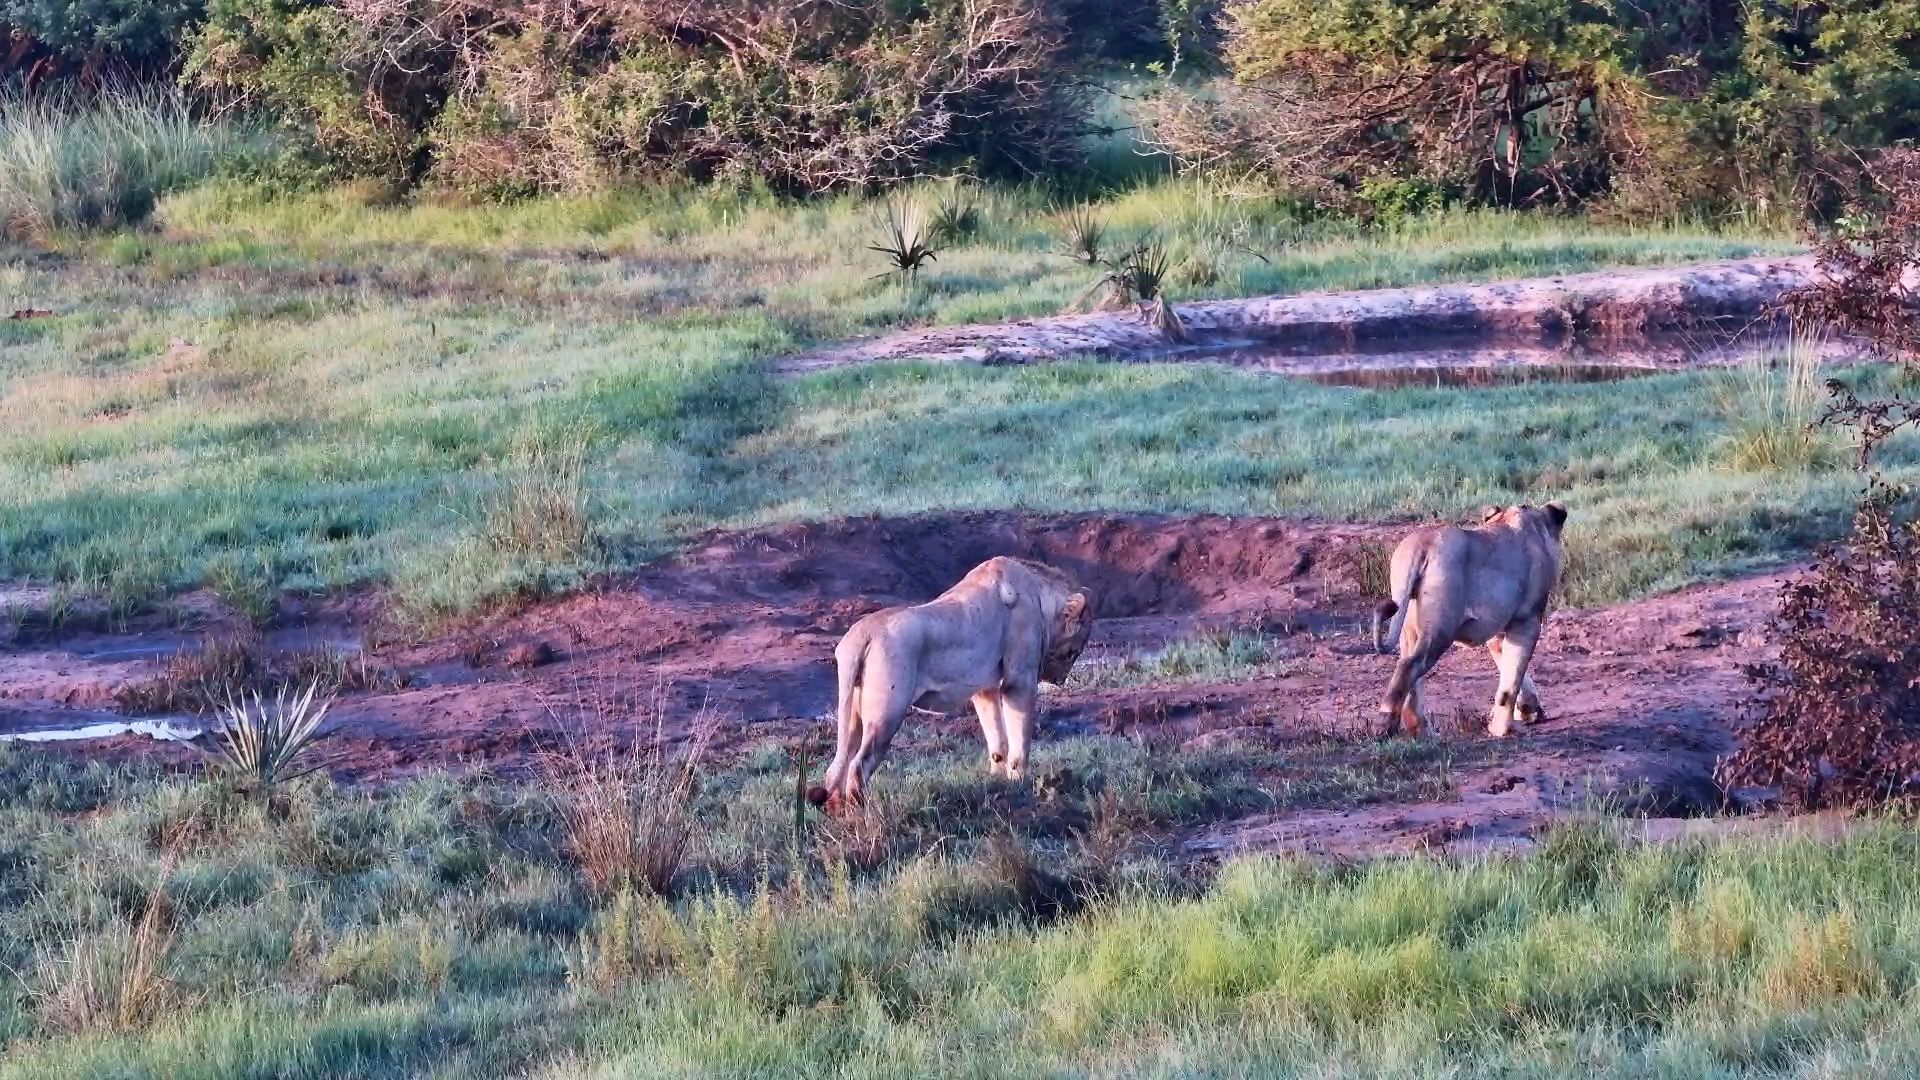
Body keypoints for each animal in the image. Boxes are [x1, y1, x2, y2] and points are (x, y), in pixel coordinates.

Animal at [807, 556, 1093, 810]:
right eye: (1073, 651)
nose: (1060, 679)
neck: (1039, 594)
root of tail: (860, 635)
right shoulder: (1018, 680)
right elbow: (1019, 742)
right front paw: (1019, 784)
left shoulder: (985, 689)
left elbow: (998, 742)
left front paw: (998, 783)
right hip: (886, 713)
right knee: (859, 765)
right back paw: (861, 814)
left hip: (854, 712)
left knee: (838, 764)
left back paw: (836, 809)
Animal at [1371, 502, 1567, 738]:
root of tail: (1422, 542)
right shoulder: (1527, 620)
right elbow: (1512, 678)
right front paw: (1503, 729)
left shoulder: (1498, 629)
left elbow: (1509, 670)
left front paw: (1527, 711)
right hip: (1441, 627)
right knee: (1409, 666)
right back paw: (1385, 725)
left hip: (1409, 626)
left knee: (1411, 674)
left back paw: (1423, 731)